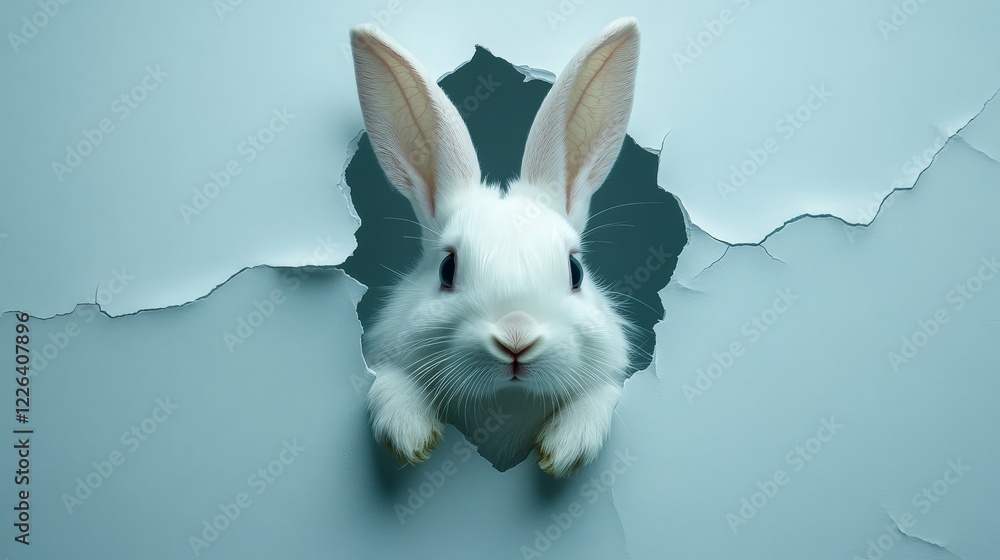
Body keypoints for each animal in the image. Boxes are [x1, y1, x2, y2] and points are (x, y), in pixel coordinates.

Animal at [350, 17, 640, 478]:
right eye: (446, 269)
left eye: (575, 271)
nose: (516, 337)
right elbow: (390, 385)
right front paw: (408, 434)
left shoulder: (611, 372)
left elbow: (601, 396)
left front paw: (565, 448)